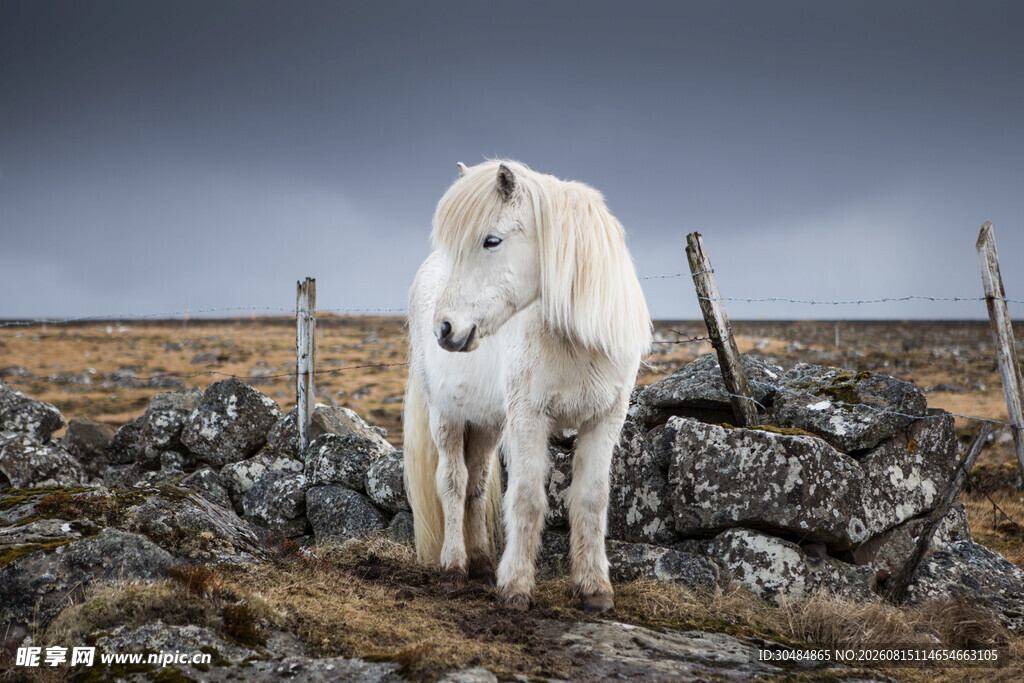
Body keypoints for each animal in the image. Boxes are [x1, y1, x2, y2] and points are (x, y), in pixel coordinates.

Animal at [403, 160, 651, 612]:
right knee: (452, 483)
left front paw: (595, 589)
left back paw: (482, 564)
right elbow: (527, 499)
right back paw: (454, 568)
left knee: (476, 486)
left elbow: (591, 499)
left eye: (492, 240)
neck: (575, 340)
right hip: (446, 416)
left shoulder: (604, 420)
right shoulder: (529, 419)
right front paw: (516, 587)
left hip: (486, 424)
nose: (445, 328)